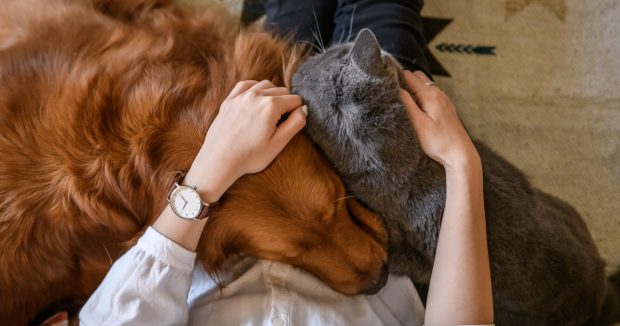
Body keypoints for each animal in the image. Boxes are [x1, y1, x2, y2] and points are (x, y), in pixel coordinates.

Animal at [292, 29, 620, 324]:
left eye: (327, 53)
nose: (298, 65)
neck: (414, 162)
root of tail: (601, 296)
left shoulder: (426, 254)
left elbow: (401, 258)